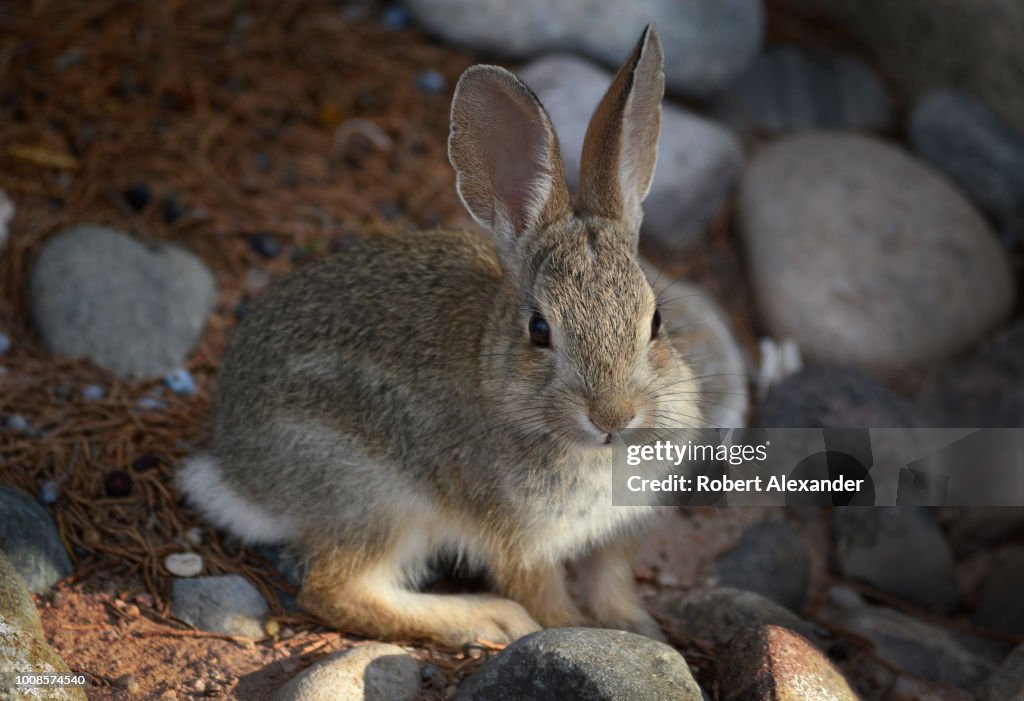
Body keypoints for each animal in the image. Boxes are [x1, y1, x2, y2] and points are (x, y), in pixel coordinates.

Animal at [177, 24, 702, 647]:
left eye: (656, 322)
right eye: (539, 330)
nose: (614, 417)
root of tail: (236, 471)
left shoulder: (616, 534)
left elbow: (611, 582)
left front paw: (642, 630)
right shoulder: (521, 541)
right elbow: (546, 600)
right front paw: (573, 630)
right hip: (377, 497)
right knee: (335, 591)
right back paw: (486, 618)